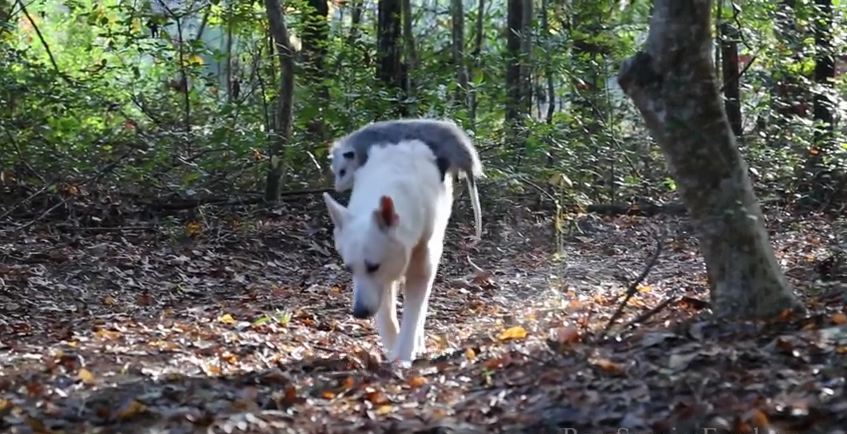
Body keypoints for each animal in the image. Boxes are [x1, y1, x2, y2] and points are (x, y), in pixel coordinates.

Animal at [322, 140, 454, 362]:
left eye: (373, 267)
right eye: (349, 269)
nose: (359, 313)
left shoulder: (418, 266)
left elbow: (413, 313)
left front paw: (405, 354)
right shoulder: (383, 281)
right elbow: (387, 317)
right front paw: (393, 350)